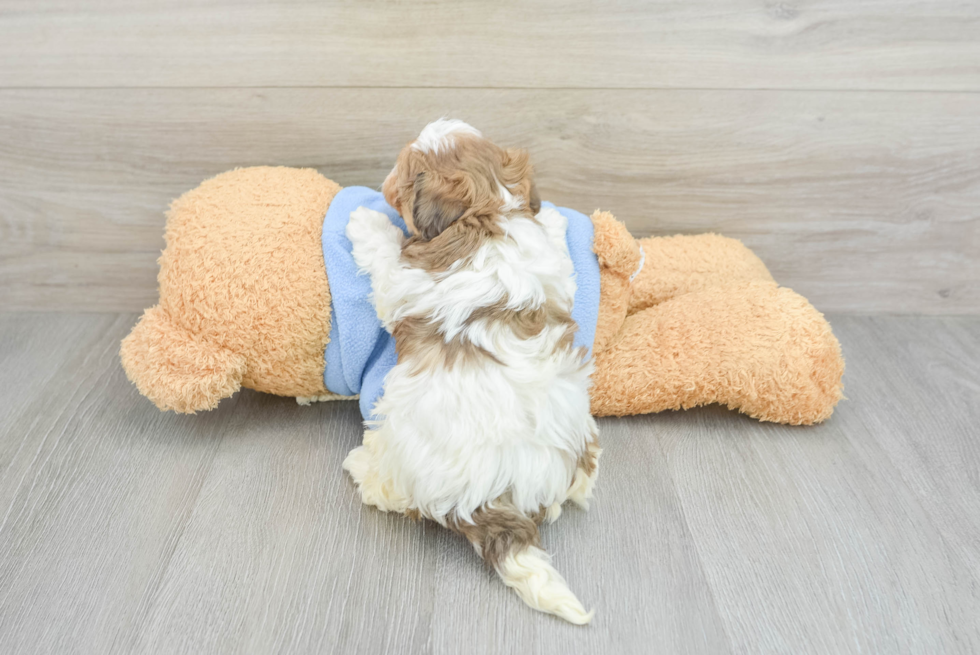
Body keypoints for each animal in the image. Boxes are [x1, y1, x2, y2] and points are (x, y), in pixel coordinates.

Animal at [340, 119, 600, 624]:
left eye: (402, 172)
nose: (383, 184)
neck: (489, 212)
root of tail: (497, 496)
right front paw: (554, 220)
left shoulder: (406, 282)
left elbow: (385, 259)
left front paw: (365, 221)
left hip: (402, 431)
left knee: (396, 490)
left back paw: (364, 468)